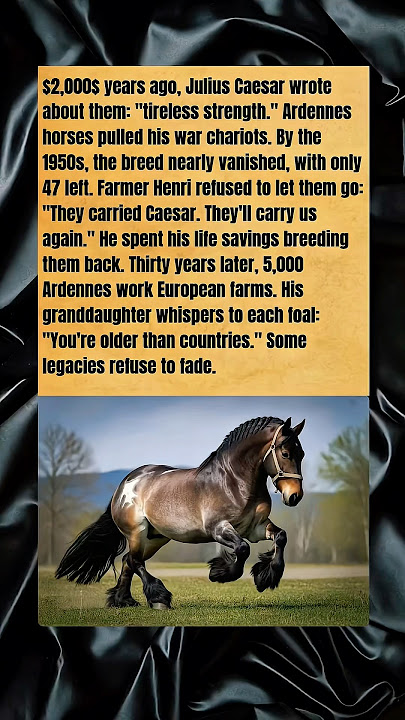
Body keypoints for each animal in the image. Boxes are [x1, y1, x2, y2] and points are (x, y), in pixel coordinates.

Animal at [55, 415, 305, 610]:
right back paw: (158, 598)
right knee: (135, 561)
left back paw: (123, 600)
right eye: (285, 453)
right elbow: (242, 549)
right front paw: (219, 573)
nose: (295, 496)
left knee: (129, 560)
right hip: (137, 533)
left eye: (301, 453)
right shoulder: (218, 528)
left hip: (156, 538)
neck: (234, 481)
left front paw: (265, 578)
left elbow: (281, 537)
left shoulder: (256, 528)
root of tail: (124, 484)